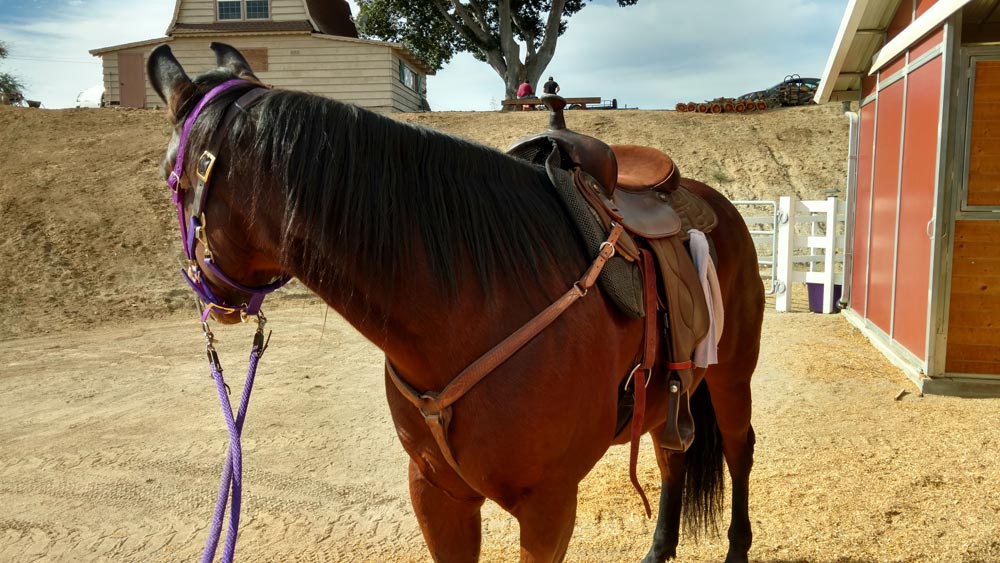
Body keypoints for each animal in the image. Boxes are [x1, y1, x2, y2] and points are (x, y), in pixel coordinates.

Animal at [147, 43, 763, 563]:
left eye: (168, 177)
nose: (209, 294)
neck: (474, 305)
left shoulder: (549, 506)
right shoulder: (436, 493)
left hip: (732, 375)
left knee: (739, 449)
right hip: (670, 397)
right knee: (671, 456)